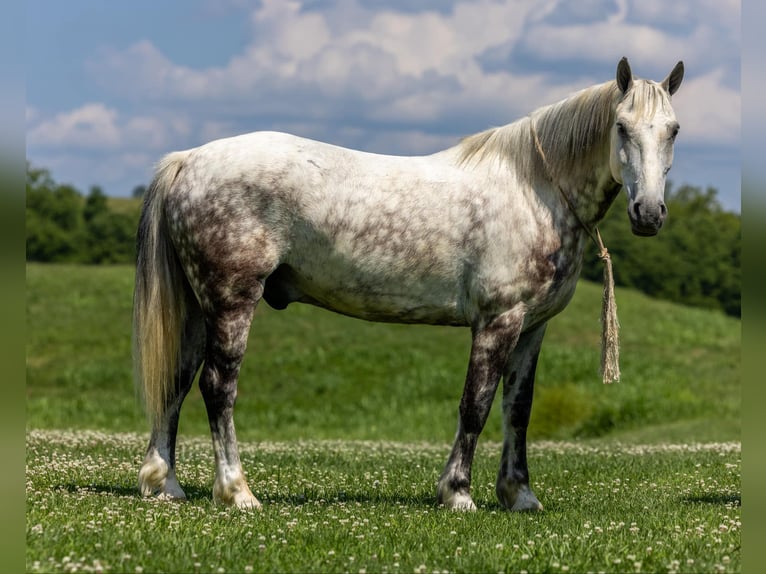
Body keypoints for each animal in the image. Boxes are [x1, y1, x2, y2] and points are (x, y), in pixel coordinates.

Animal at [135, 58, 688, 512]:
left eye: (674, 130)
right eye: (621, 126)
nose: (649, 214)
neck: (535, 190)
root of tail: (188, 160)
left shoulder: (532, 328)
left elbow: (518, 409)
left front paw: (519, 495)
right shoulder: (498, 321)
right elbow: (476, 404)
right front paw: (458, 494)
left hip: (198, 306)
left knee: (177, 381)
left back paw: (166, 484)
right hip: (231, 301)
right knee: (217, 386)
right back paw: (237, 491)